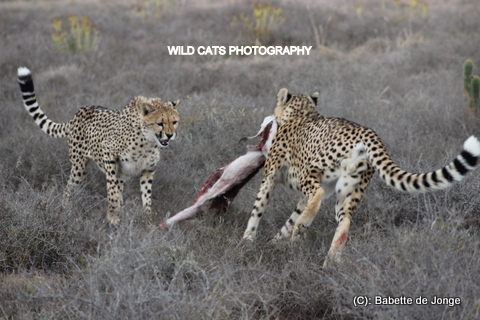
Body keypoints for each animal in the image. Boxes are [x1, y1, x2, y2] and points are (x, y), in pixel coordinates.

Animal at [17, 66, 180, 224]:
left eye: (174, 122)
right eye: (160, 123)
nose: (170, 135)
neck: (148, 141)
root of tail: (81, 111)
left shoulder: (148, 169)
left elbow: (147, 197)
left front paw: (148, 220)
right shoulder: (109, 152)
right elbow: (112, 189)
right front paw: (113, 217)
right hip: (79, 167)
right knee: (68, 189)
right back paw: (64, 210)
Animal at [244, 87, 480, 268]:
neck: (302, 114)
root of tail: (368, 131)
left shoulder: (270, 178)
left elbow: (258, 209)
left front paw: (247, 240)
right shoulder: (302, 196)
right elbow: (290, 218)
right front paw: (276, 242)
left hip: (312, 171)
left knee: (318, 194)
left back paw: (304, 227)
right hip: (350, 189)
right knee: (345, 221)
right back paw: (330, 261)